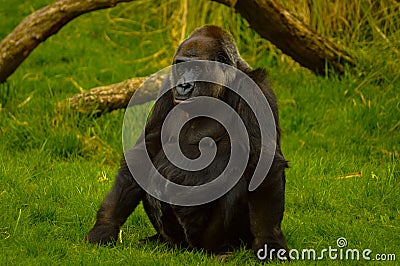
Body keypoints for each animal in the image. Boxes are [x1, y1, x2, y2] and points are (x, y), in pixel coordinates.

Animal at [86, 23, 290, 260]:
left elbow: (263, 163)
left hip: (210, 242)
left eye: (197, 67)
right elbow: (146, 150)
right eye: (181, 66)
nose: (183, 86)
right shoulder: (167, 87)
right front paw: (105, 226)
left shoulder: (256, 90)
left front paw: (269, 241)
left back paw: (223, 249)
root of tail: (189, 248)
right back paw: (162, 241)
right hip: (176, 239)